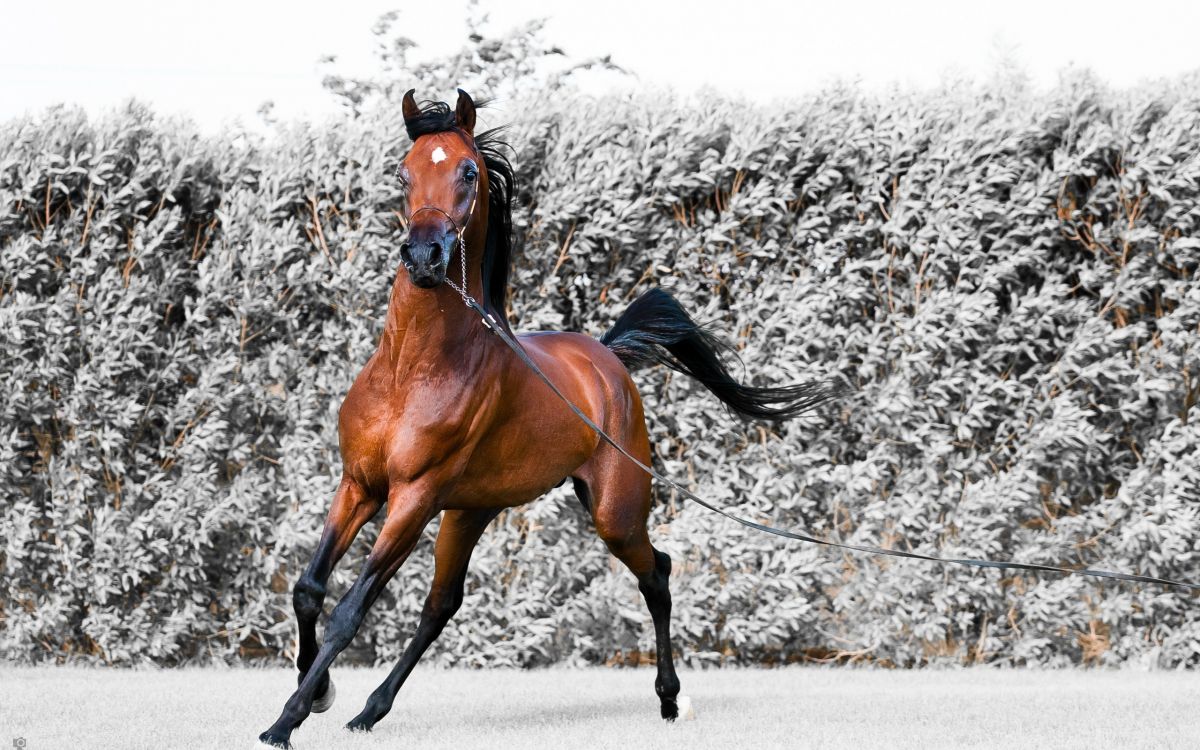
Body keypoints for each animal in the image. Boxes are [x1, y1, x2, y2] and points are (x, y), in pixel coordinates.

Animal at [258, 90, 830, 744]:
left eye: (468, 172)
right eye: (402, 172)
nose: (425, 257)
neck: (411, 371)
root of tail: (607, 357)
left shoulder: (411, 497)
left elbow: (349, 611)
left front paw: (286, 720)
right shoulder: (359, 484)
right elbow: (308, 589)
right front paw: (320, 692)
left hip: (613, 511)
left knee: (655, 574)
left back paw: (670, 700)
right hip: (470, 511)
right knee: (441, 605)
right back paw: (367, 712)